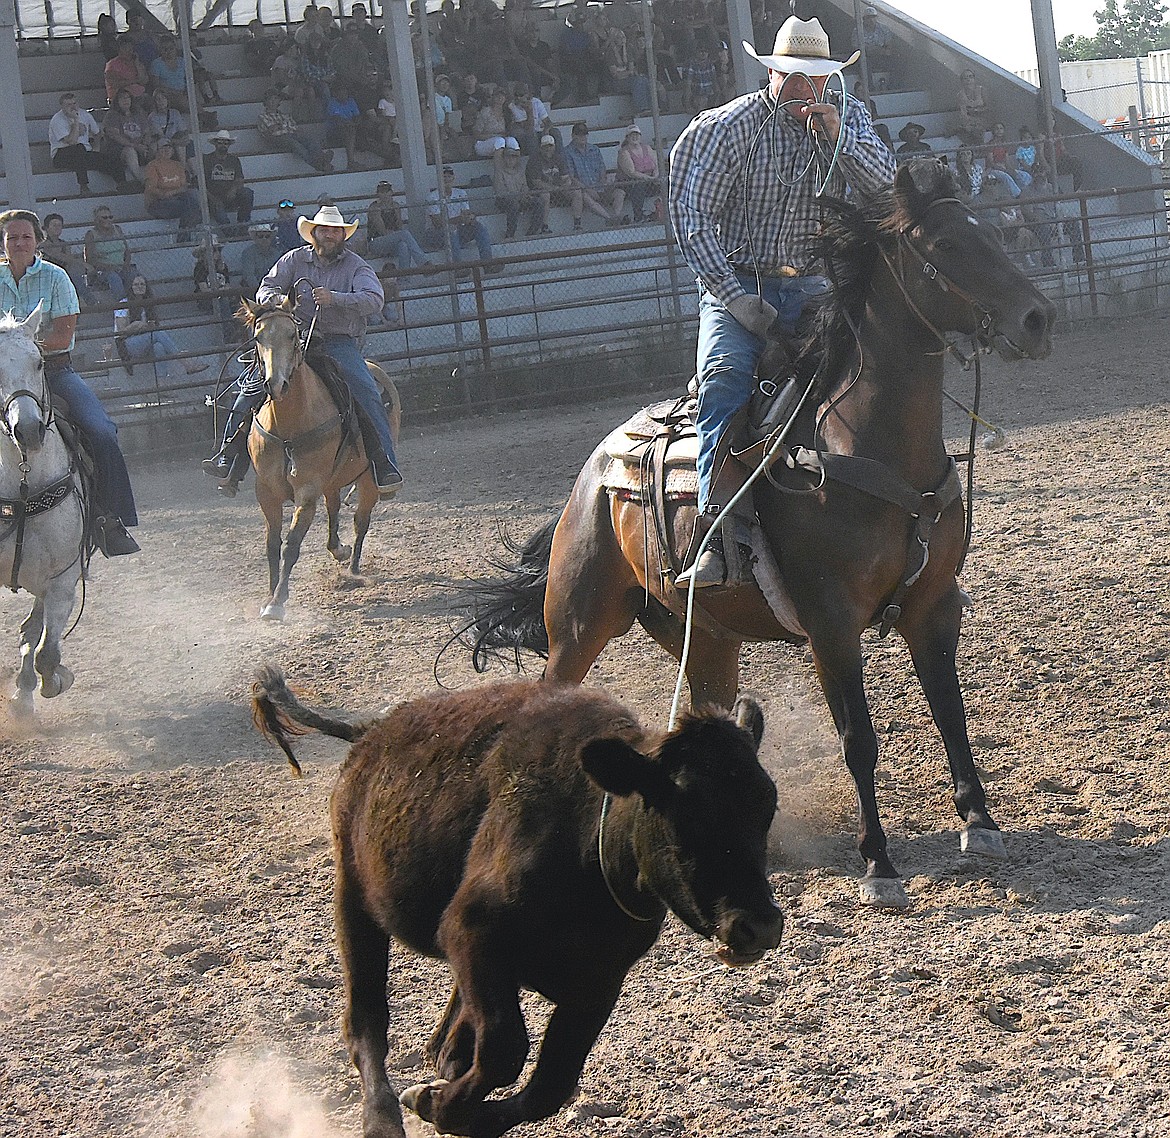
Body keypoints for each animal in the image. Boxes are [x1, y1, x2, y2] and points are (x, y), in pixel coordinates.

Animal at [236, 294, 402, 622]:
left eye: (292, 335)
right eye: (258, 337)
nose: (275, 384)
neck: (288, 426)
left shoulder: (308, 490)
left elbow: (291, 545)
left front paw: (278, 602)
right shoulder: (266, 491)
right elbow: (272, 544)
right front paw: (268, 595)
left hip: (367, 482)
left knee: (360, 522)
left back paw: (352, 569)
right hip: (333, 480)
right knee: (335, 509)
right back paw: (339, 550)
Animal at [460, 162, 1057, 907]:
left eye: (993, 229)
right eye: (945, 243)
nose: (1037, 318)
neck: (872, 450)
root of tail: (593, 470)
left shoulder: (933, 605)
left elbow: (951, 711)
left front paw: (981, 825)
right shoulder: (831, 622)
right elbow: (858, 738)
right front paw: (879, 865)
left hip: (705, 635)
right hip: (579, 619)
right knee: (549, 696)